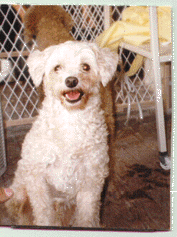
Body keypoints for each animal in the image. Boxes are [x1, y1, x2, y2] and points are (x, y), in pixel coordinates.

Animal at [6, 41, 118, 228]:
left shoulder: (91, 179)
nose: (71, 81)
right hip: (19, 193)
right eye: (57, 67)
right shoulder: (38, 178)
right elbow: (44, 212)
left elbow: (87, 214)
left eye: (86, 66)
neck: (70, 120)